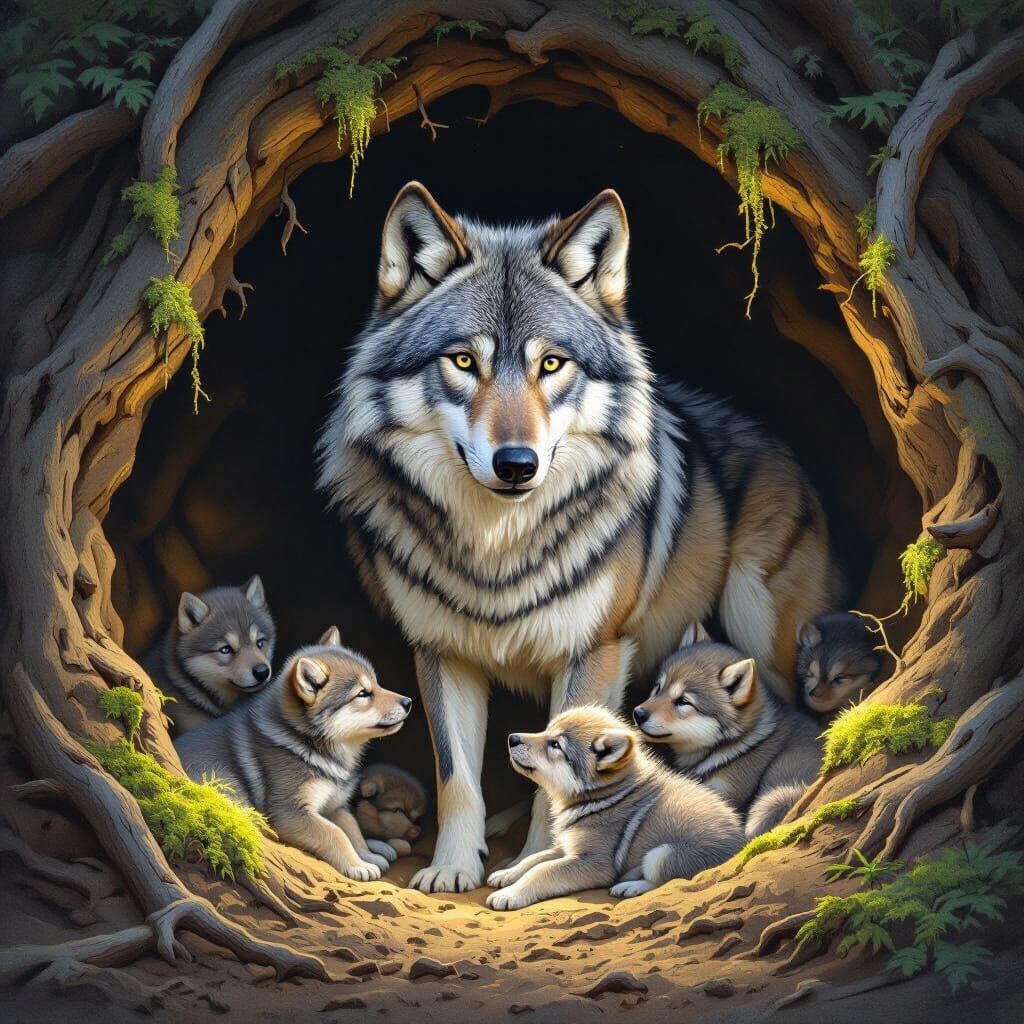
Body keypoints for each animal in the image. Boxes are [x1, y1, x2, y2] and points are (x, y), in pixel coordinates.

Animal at [175, 626, 412, 880]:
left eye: (377, 685)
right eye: (362, 694)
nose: (408, 702)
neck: (306, 743)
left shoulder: (333, 805)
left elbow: (351, 828)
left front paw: (366, 856)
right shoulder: (290, 812)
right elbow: (335, 833)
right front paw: (357, 865)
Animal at [485, 705, 743, 909]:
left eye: (555, 744)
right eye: (546, 731)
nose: (512, 738)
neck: (602, 798)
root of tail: (740, 843)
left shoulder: (594, 862)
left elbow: (542, 871)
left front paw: (510, 895)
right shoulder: (567, 847)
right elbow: (534, 859)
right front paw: (506, 874)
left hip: (662, 854)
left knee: (666, 882)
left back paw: (630, 886)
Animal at [632, 622, 821, 837]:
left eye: (683, 701)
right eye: (657, 688)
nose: (638, 714)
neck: (740, 743)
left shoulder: (726, 792)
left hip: (772, 800)